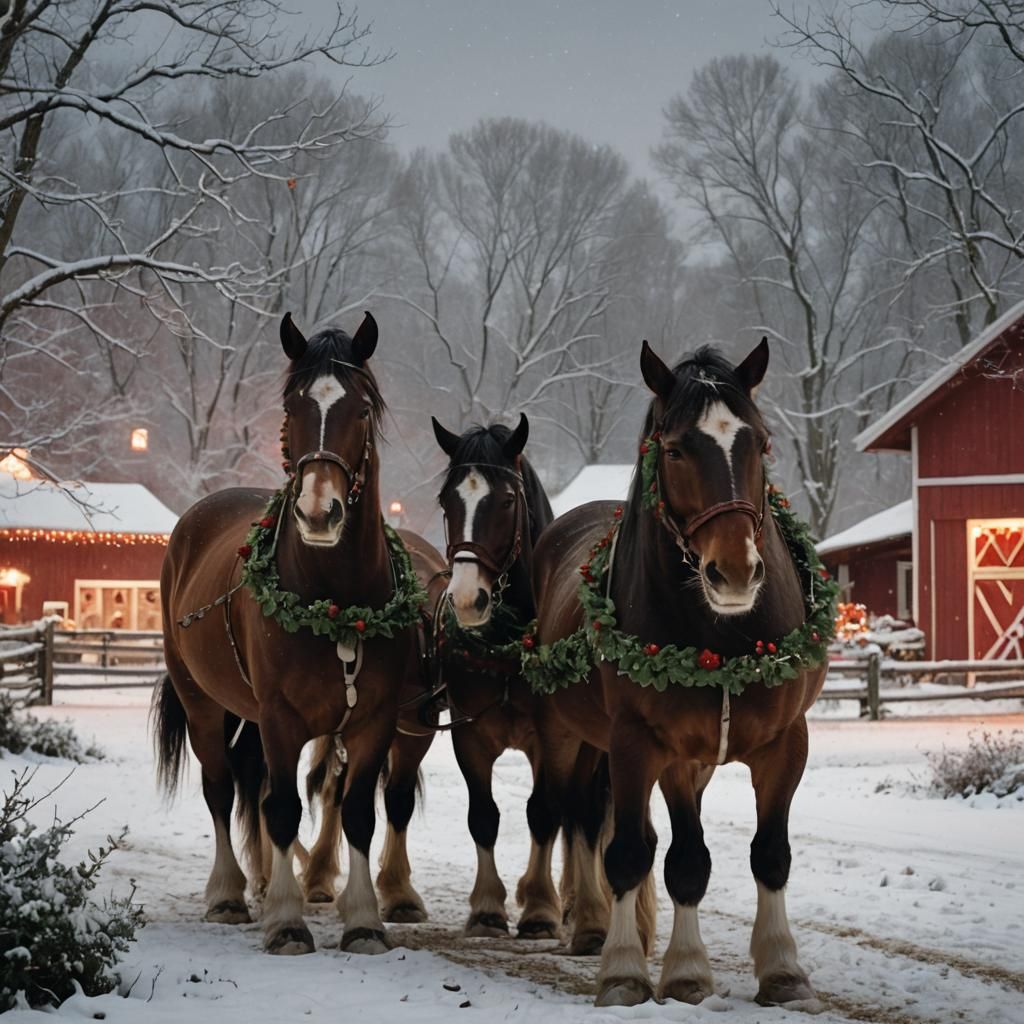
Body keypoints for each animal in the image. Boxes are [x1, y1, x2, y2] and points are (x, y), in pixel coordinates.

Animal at [153, 311, 446, 956]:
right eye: (291, 406)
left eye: (361, 409)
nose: (318, 512)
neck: (333, 601)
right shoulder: (281, 716)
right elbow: (282, 807)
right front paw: (286, 920)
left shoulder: (373, 720)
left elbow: (357, 811)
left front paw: (363, 920)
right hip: (201, 698)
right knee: (220, 786)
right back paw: (230, 893)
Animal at [530, 338, 833, 1007]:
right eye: (673, 448)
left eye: (760, 442)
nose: (735, 571)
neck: (724, 639)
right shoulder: (648, 744)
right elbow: (647, 856)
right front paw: (637, 971)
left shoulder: (783, 743)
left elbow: (768, 854)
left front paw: (781, 968)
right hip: (568, 737)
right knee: (575, 819)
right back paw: (584, 923)